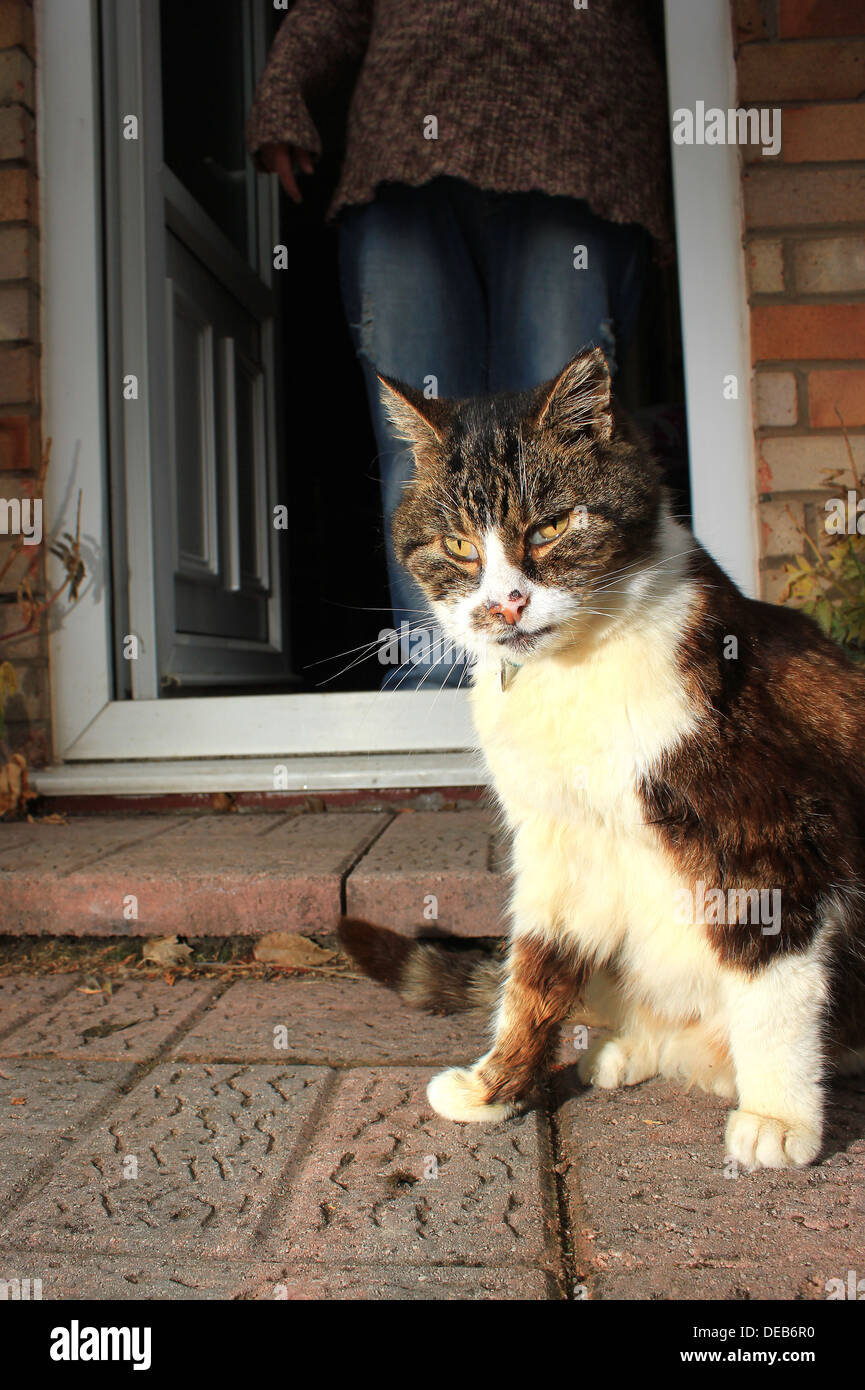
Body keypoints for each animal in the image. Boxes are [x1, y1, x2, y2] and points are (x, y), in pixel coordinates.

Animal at [339, 341, 865, 1167]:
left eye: (552, 525)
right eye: (458, 545)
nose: (506, 604)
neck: (571, 677)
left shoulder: (771, 825)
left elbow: (773, 974)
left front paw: (778, 1118)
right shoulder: (561, 843)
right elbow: (533, 971)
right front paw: (495, 1086)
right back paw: (627, 1049)